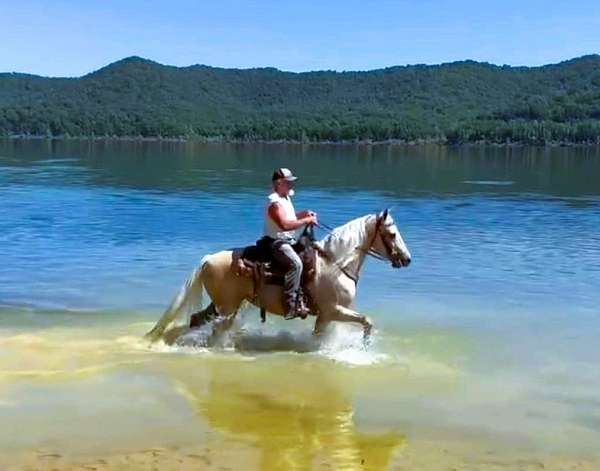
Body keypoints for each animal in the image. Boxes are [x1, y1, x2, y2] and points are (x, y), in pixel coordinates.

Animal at [144, 209, 412, 342]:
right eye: (392, 234)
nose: (407, 259)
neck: (335, 263)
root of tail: (207, 259)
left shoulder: (325, 316)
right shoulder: (332, 310)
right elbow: (366, 321)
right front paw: (364, 345)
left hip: (222, 305)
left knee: (197, 320)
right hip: (227, 307)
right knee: (215, 327)